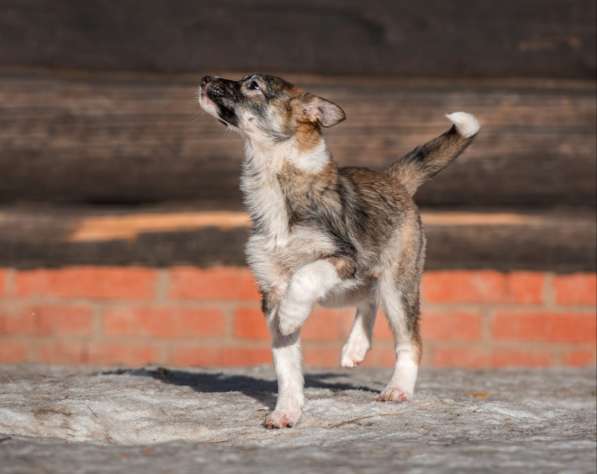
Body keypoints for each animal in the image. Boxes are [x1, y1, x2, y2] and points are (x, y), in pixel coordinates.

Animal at [198, 74, 478, 430]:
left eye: (253, 85)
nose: (204, 79)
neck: (277, 181)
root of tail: (394, 180)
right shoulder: (272, 289)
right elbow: (286, 365)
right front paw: (286, 412)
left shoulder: (344, 258)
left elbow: (305, 276)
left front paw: (291, 316)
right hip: (346, 291)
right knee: (368, 299)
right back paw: (355, 347)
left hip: (396, 283)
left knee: (409, 340)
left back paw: (398, 388)